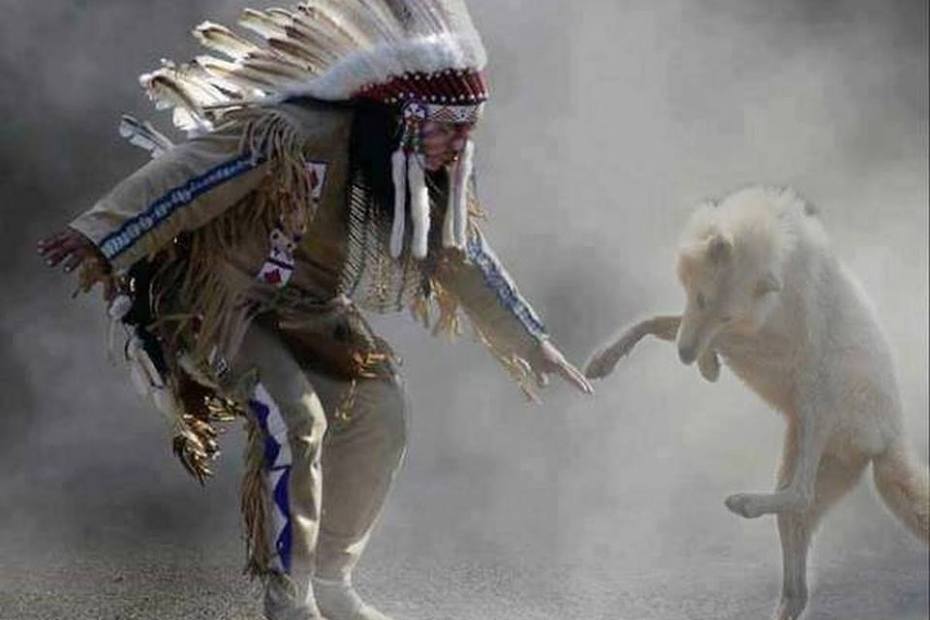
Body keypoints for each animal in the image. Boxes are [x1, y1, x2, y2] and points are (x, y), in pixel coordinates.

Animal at [585, 186, 929, 620]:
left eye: (727, 315)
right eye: (702, 299)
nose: (684, 357)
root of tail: (892, 440)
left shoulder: (771, 344)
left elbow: (700, 335)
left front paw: (707, 365)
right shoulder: (705, 325)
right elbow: (654, 322)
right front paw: (604, 360)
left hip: (816, 400)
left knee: (799, 494)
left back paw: (744, 504)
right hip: (801, 464)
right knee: (797, 573)